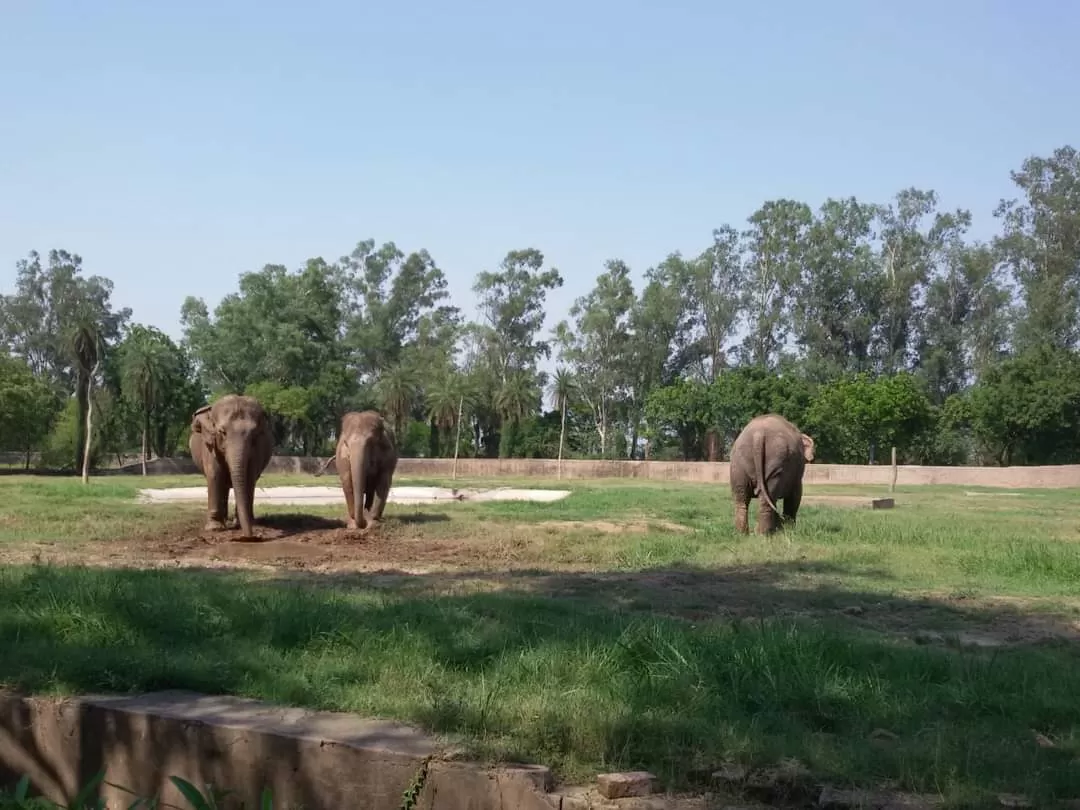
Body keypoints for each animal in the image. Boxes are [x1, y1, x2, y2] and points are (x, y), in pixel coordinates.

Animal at [185, 393, 272, 540]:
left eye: (254, 435)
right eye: (222, 432)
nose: (249, 538)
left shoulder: (257, 449)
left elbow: (249, 477)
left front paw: (241, 525)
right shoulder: (210, 446)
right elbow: (215, 475)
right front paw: (214, 528)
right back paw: (224, 520)